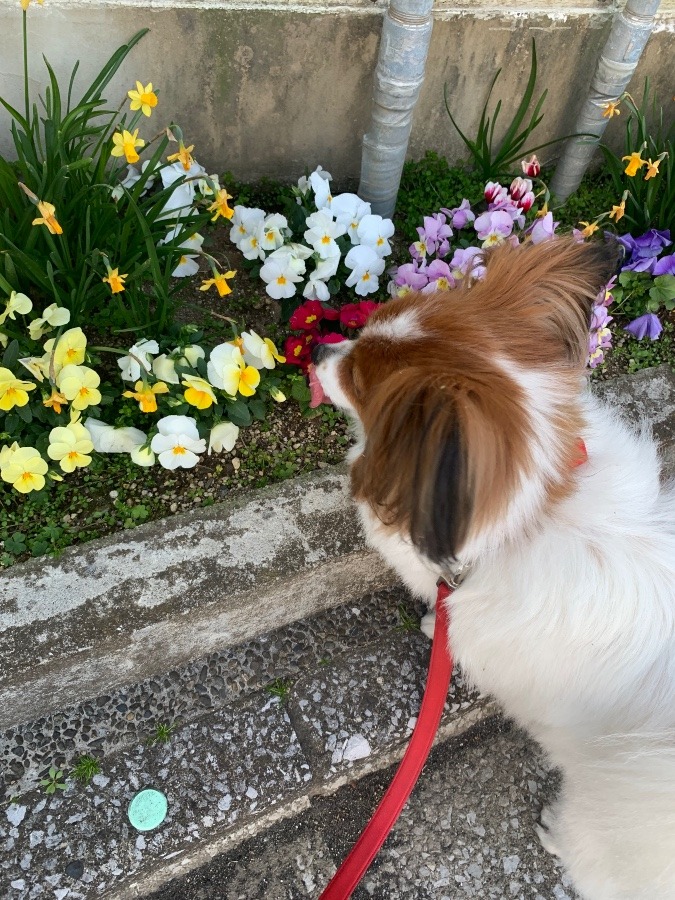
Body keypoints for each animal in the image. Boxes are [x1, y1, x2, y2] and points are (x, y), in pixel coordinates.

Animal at [314, 237, 675, 900]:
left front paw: (435, 629)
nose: (323, 348)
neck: (534, 514)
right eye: (368, 326)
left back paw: (555, 834)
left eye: (355, 377)